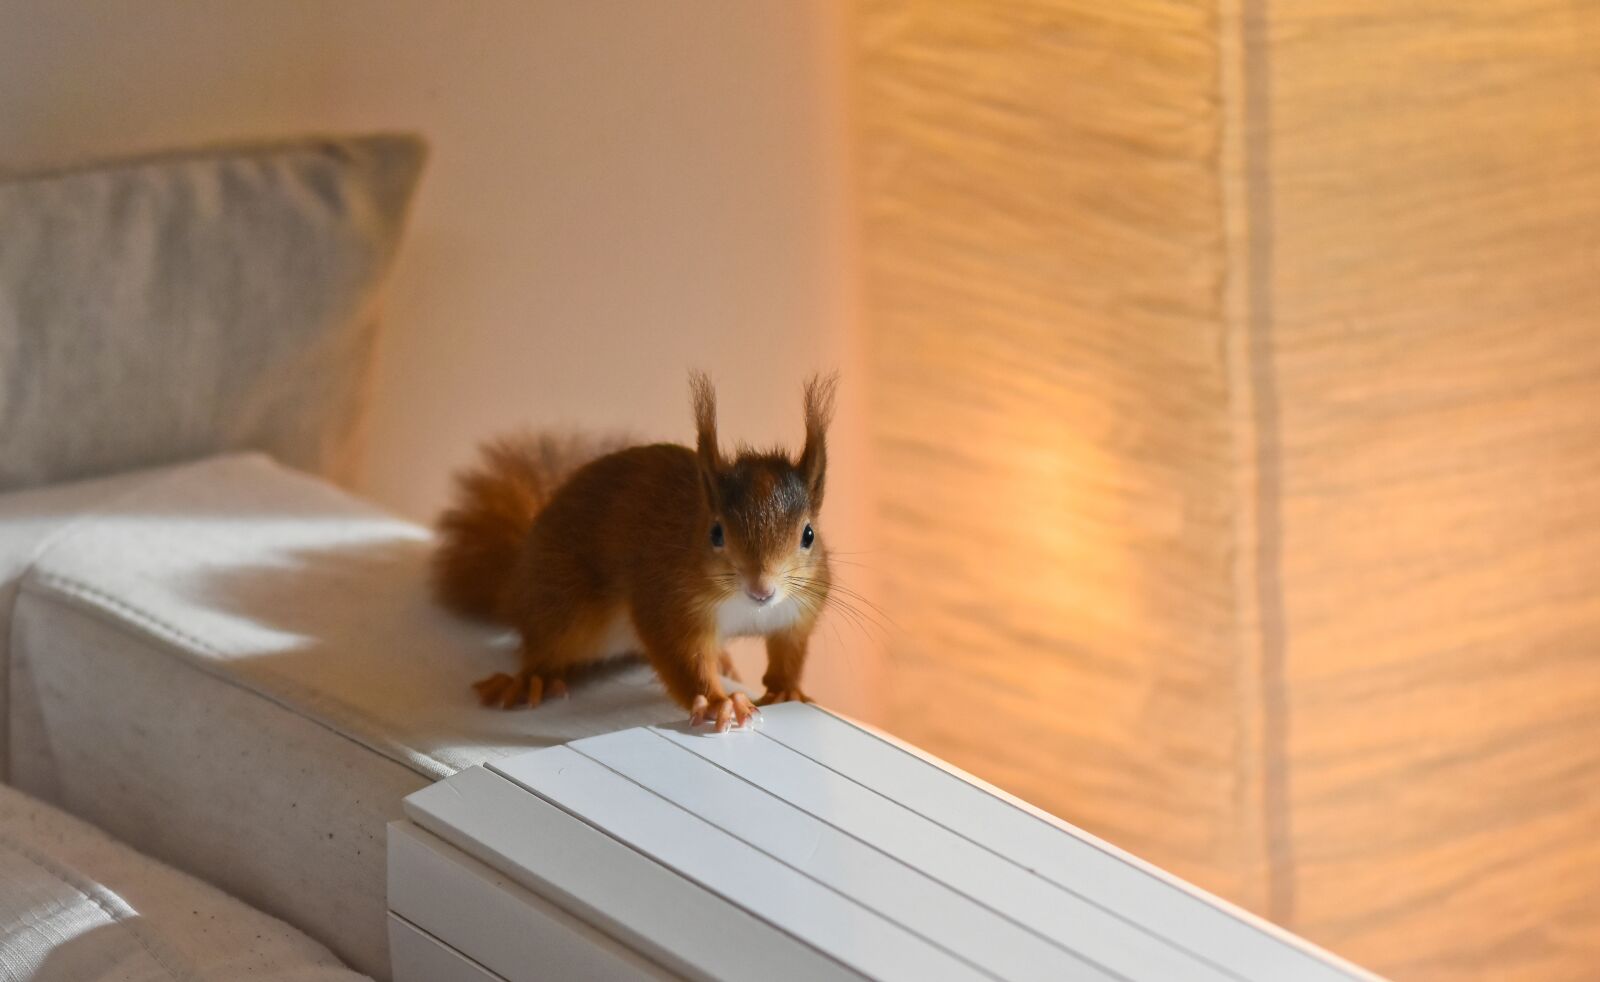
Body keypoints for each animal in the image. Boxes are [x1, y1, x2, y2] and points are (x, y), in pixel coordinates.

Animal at [431, 372, 836, 732]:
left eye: (809, 535)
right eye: (716, 533)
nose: (761, 588)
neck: (748, 609)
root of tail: (515, 583)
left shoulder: (798, 611)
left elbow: (789, 652)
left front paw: (786, 689)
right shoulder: (668, 601)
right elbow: (683, 657)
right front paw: (719, 702)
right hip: (563, 604)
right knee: (544, 645)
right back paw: (532, 679)